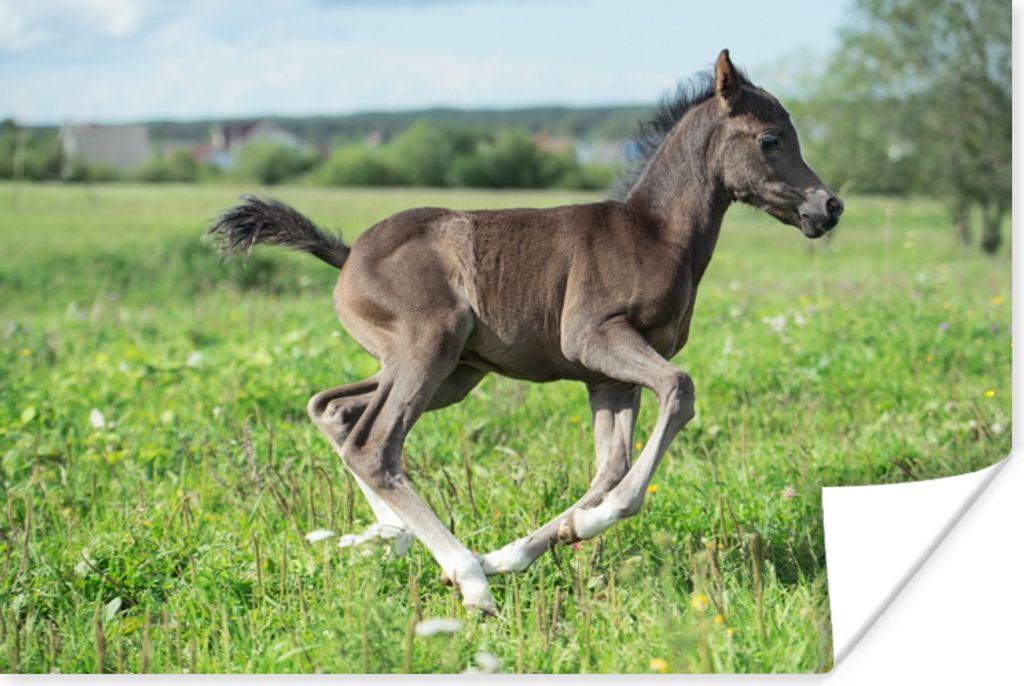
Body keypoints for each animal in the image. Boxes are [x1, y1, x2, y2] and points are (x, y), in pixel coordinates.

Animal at [206, 50, 843, 614]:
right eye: (771, 139)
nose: (829, 206)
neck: (656, 234)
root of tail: (347, 255)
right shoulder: (595, 338)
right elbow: (678, 393)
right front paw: (567, 531)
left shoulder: (607, 378)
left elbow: (611, 465)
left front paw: (521, 549)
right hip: (429, 347)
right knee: (373, 444)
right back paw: (466, 577)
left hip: (450, 372)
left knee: (335, 411)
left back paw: (399, 539)